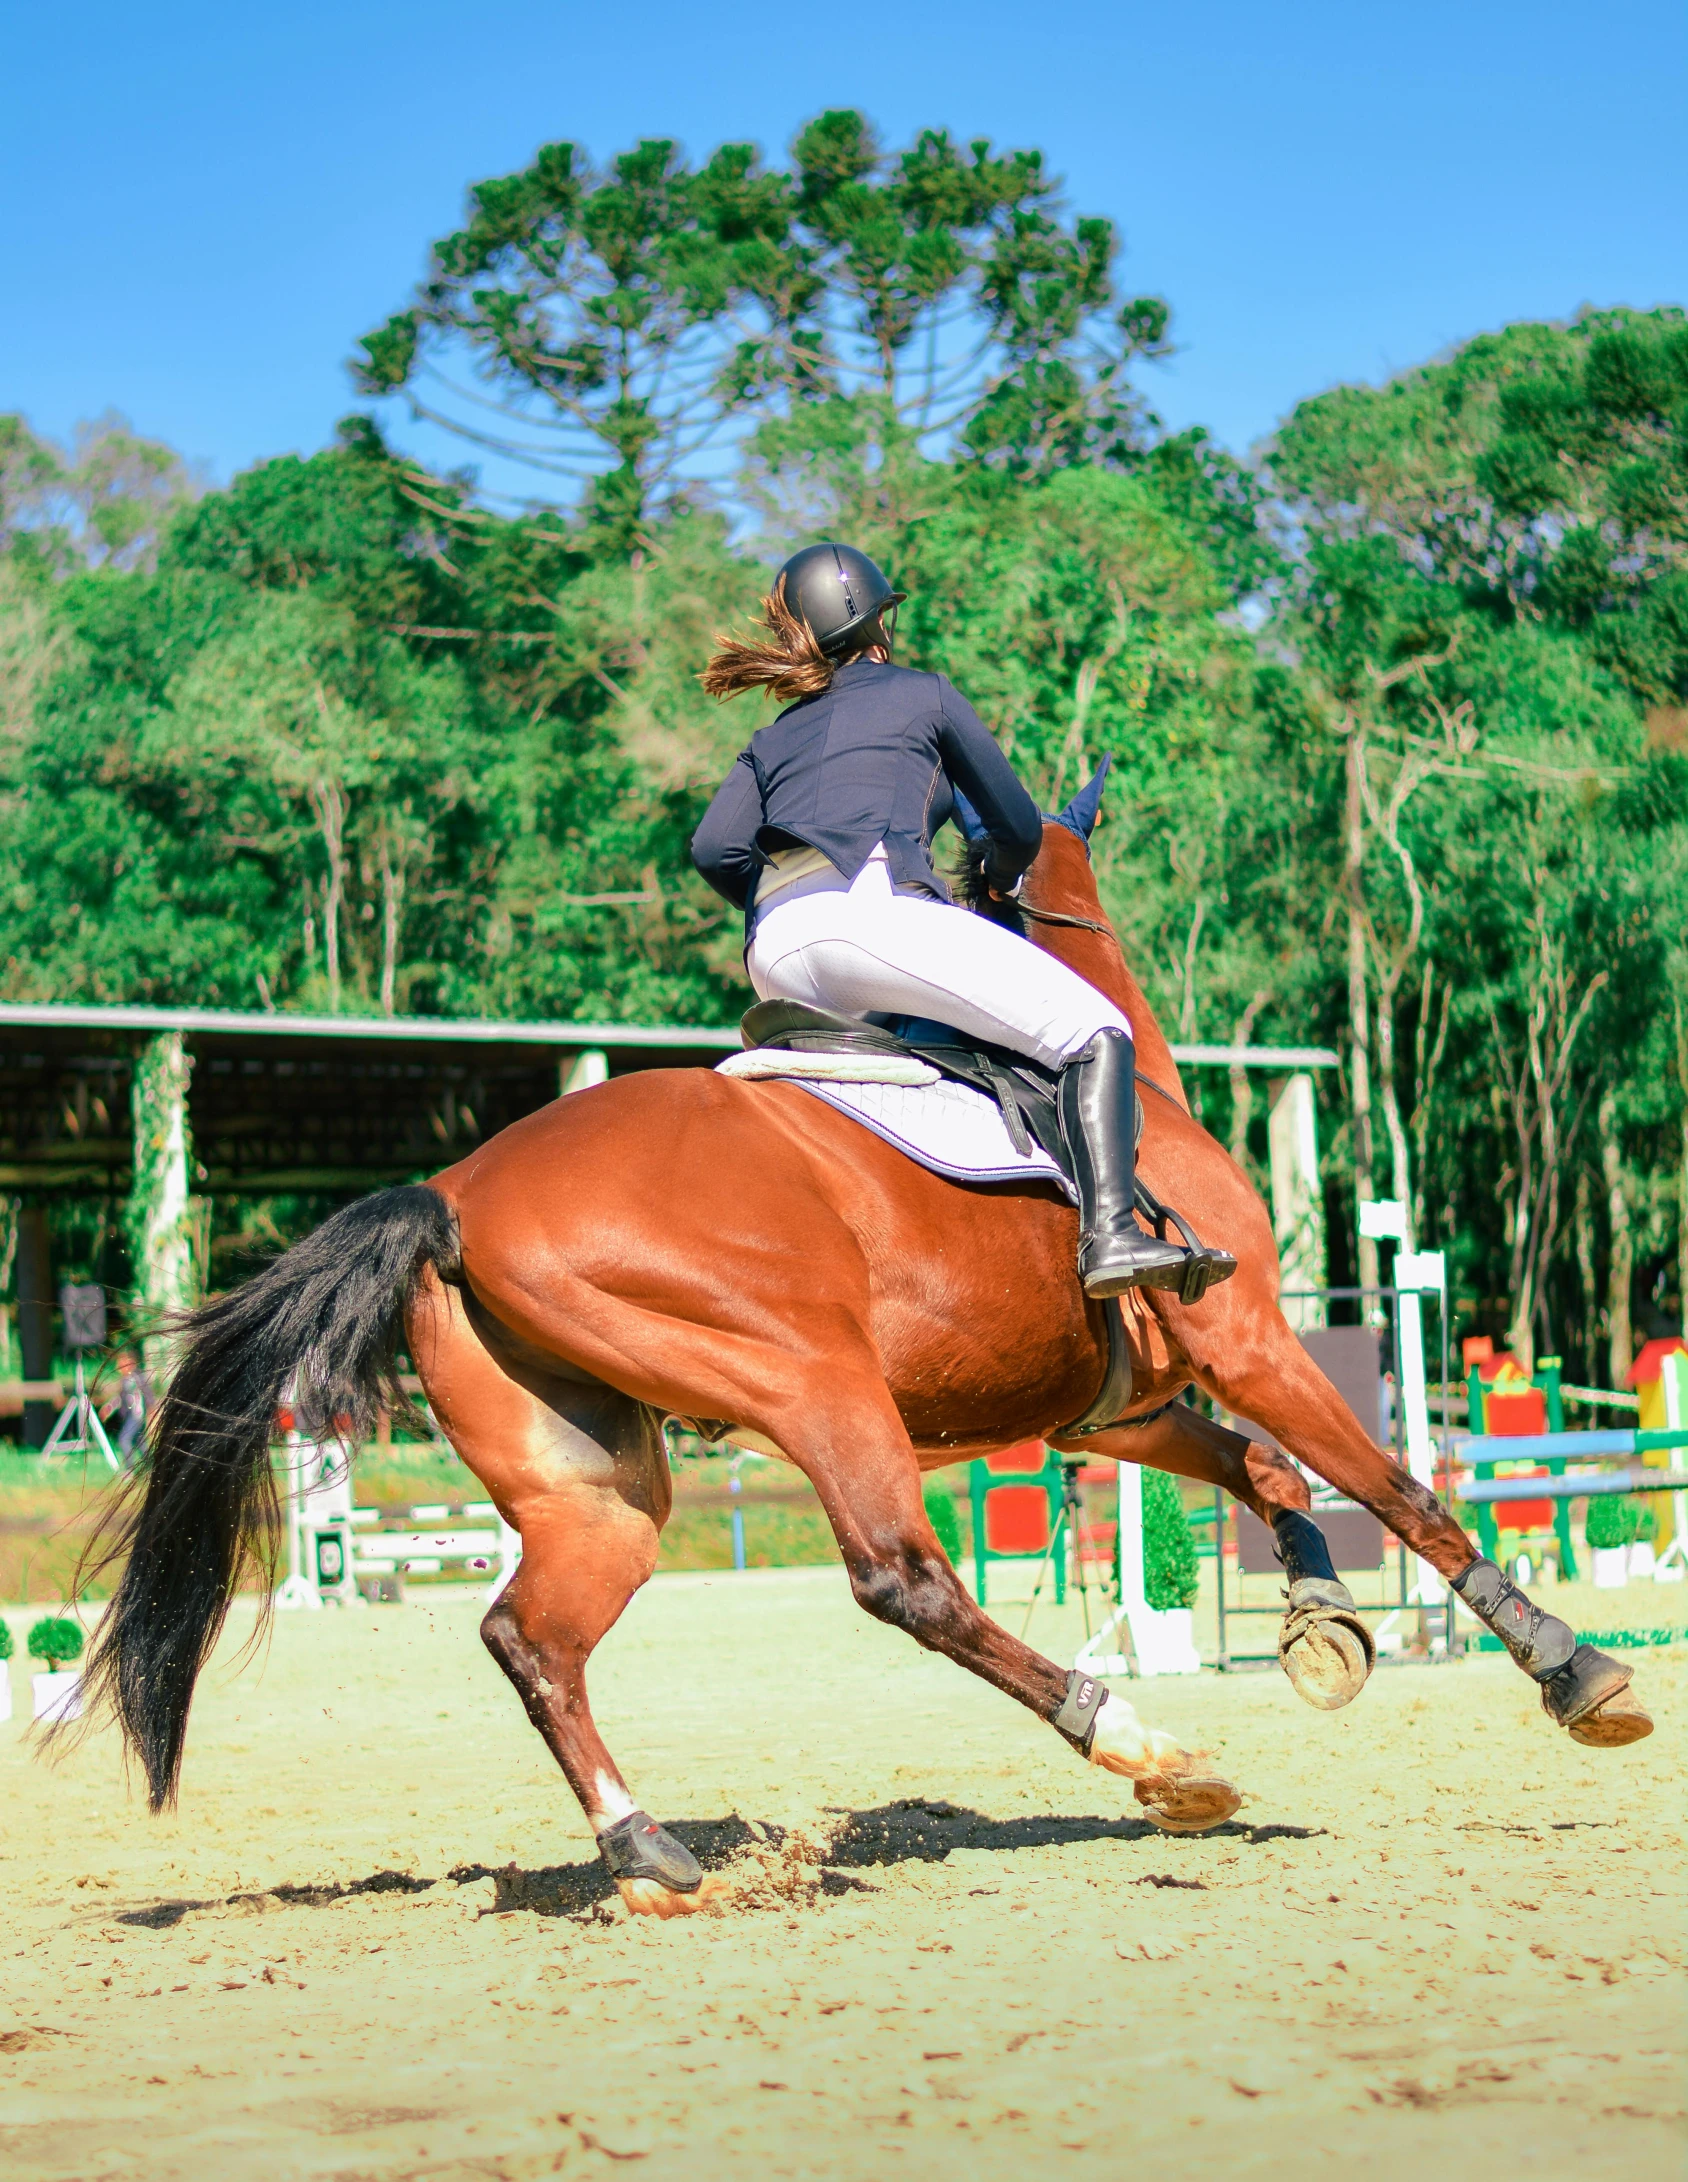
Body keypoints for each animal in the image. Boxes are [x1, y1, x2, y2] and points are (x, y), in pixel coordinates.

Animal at [79, 776, 1648, 1920]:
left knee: (532, 1635)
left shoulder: (1112, 1412)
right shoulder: (1244, 1332)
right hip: (815, 1380)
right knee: (905, 1581)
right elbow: (1389, 1483)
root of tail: (456, 1194)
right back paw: (1147, 1750)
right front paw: (1566, 1665)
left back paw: (651, 1855)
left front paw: (1323, 1626)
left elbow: (1265, 1474)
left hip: (601, 1487)